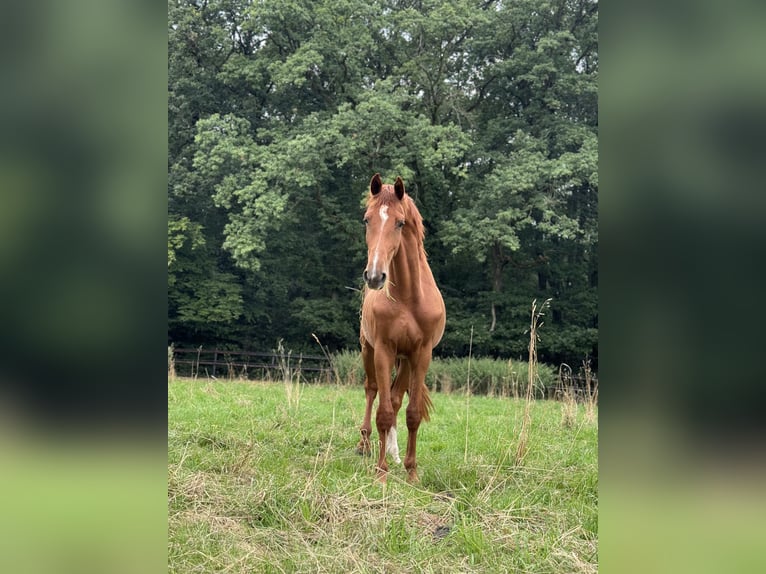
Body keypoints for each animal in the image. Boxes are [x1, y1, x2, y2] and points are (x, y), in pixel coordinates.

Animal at [356, 173, 448, 484]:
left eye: (399, 222)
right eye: (366, 219)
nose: (375, 276)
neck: (408, 297)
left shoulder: (421, 354)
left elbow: (412, 413)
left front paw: (411, 471)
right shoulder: (384, 350)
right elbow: (383, 412)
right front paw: (381, 473)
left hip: (406, 360)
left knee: (396, 398)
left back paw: (394, 454)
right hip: (368, 350)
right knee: (372, 391)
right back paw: (365, 444)